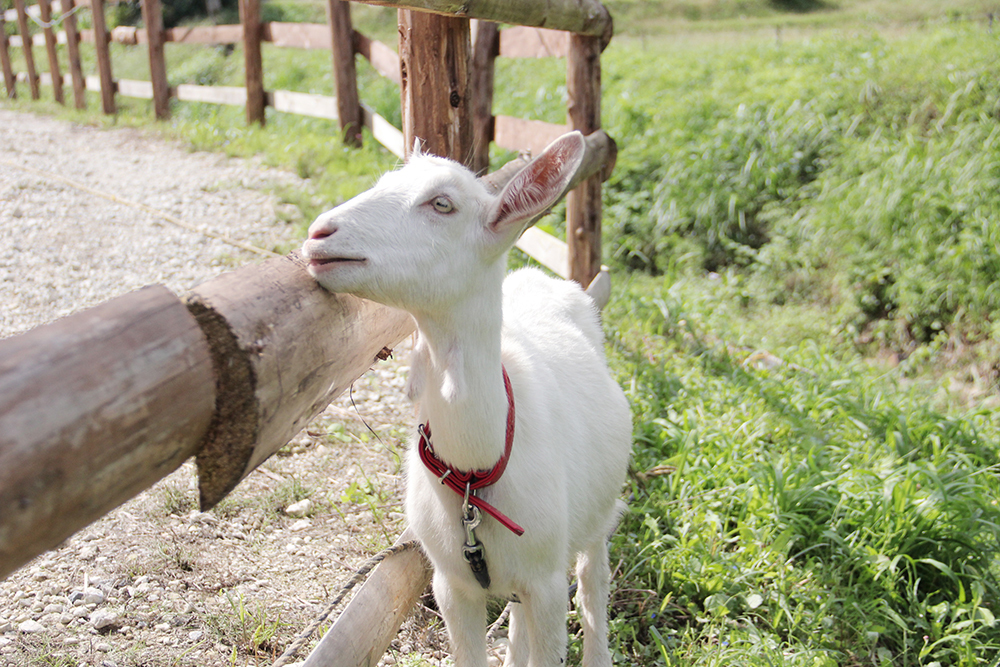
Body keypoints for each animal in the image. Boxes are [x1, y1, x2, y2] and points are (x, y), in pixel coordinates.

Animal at [302, 132, 632, 667]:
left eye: (442, 204)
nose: (320, 233)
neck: (476, 473)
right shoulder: (451, 585)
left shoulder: (546, 583)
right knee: (518, 619)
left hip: (598, 518)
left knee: (592, 587)